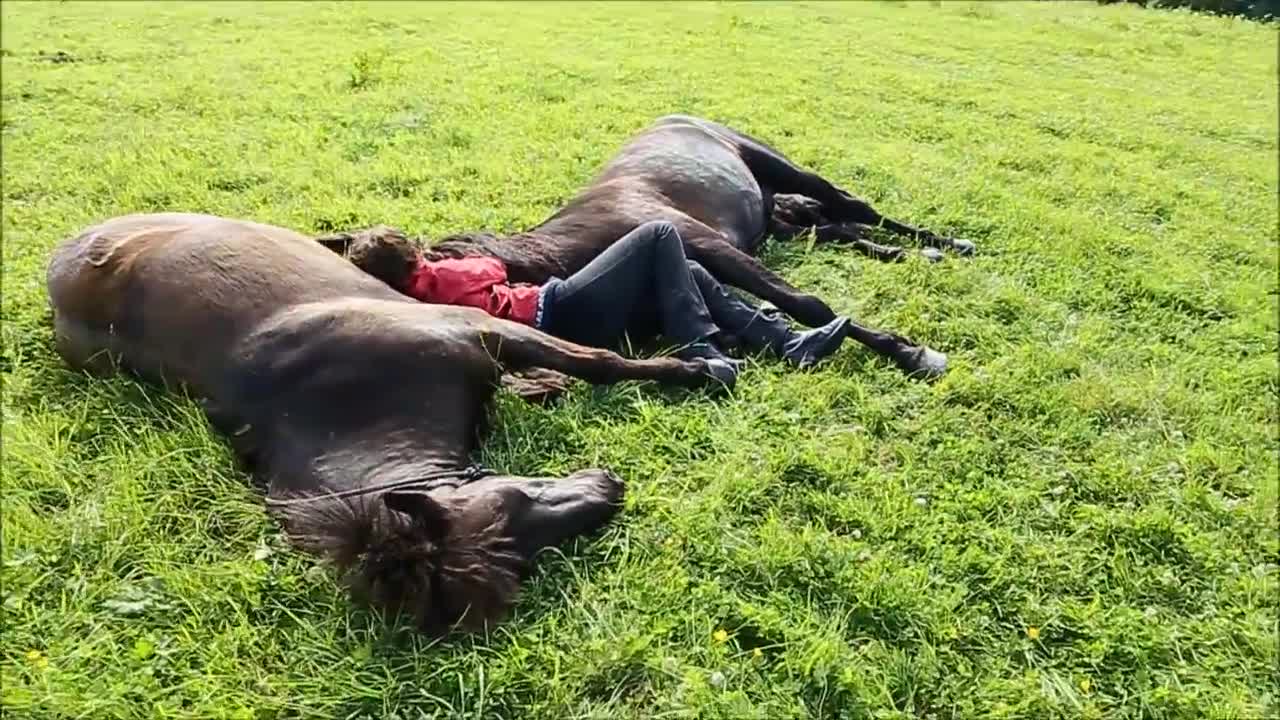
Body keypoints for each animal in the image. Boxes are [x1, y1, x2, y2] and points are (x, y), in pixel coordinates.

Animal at [45, 210, 732, 630]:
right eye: (516, 536)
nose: (613, 489)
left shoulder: (484, 329)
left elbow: (596, 361)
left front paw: (691, 371)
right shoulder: (482, 330)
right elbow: (596, 361)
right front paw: (696, 369)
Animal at [320, 113, 967, 376]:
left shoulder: (702, 241)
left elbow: (806, 303)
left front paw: (910, 352)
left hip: (776, 166)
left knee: (855, 208)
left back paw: (946, 243)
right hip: (776, 215)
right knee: (838, 227)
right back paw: (910, 253)